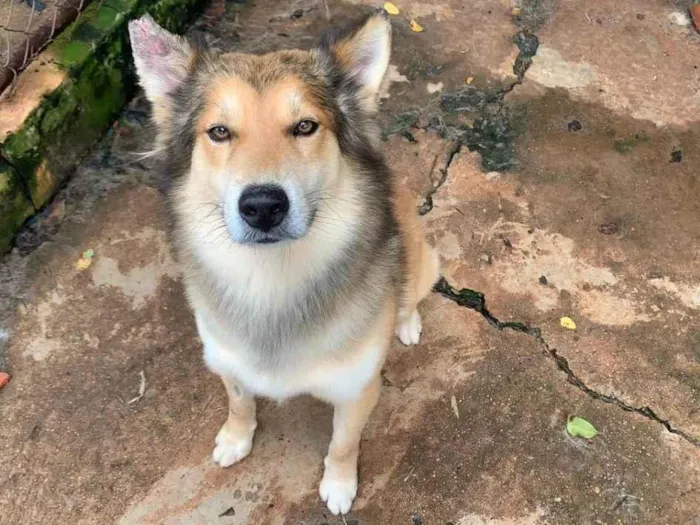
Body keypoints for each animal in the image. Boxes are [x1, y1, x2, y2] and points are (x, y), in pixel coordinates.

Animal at [127, 10, 438, 512]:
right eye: (219, 132)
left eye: (305, 126)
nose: (263, 206)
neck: (272, 280)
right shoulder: (226, 359)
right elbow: (239, 401)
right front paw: (236, 438)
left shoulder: (357, 390)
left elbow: (343, 444)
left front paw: (339, 484)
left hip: (426, 259)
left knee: (409, 290)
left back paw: (406, 324)